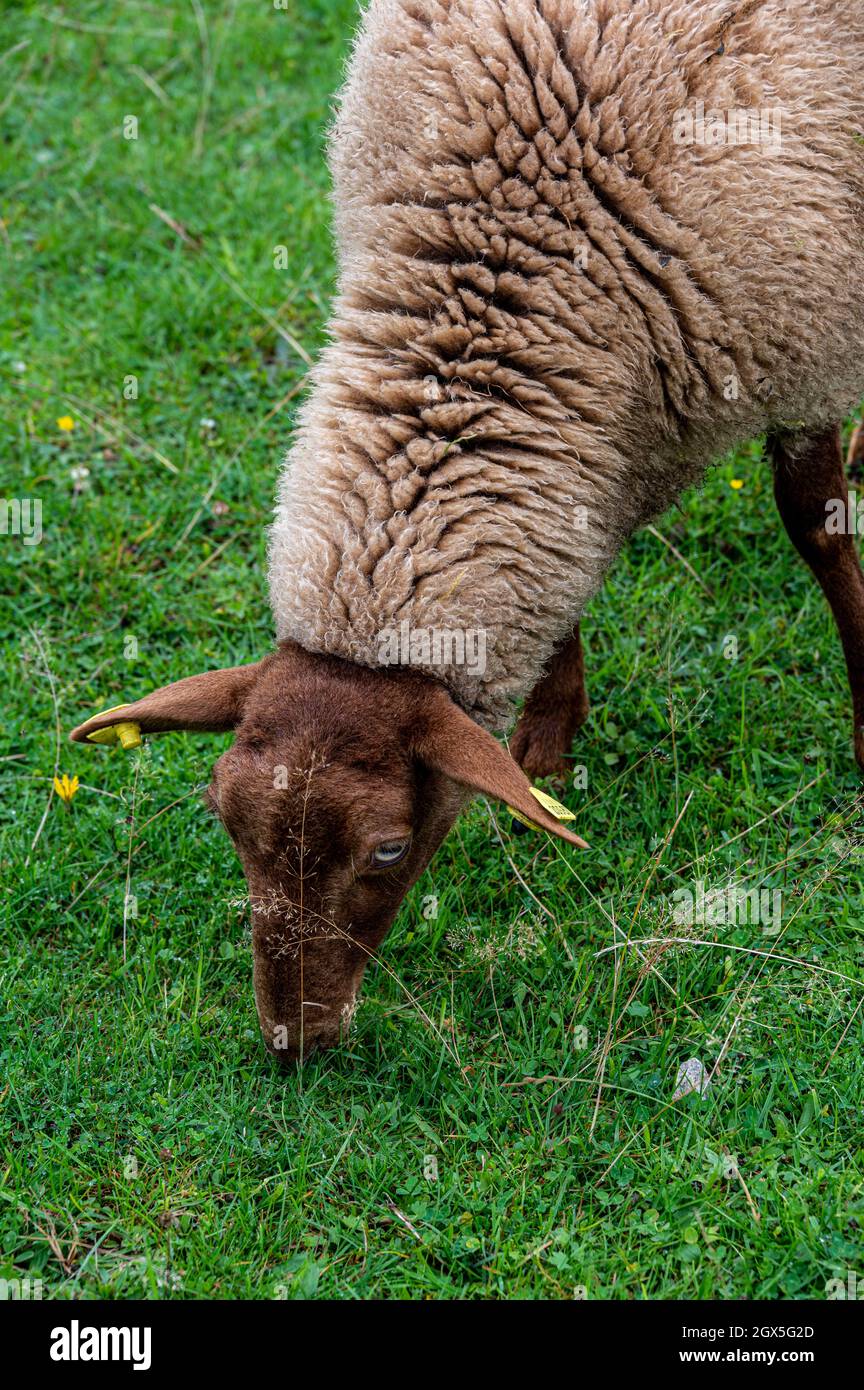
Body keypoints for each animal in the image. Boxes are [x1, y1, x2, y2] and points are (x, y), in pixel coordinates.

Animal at [73, 0, 864, 1062]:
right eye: (223, 817)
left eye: (389, 848)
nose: (292, 1045)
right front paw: (547, 747)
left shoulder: (804, 340)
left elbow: (817, 525)